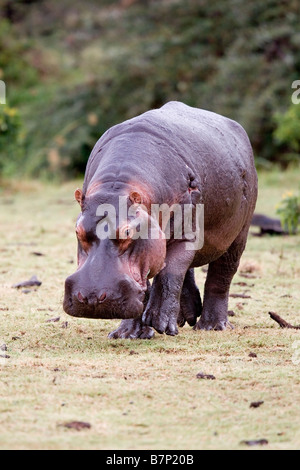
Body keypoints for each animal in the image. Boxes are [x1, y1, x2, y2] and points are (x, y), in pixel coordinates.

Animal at [63, 102, 258, 338]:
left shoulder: (185, 236)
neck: (118, 184)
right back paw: (187, 316)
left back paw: (211, 326)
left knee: (221, 275)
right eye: (78, 231)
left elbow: (169, 273)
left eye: (127, 232)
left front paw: (160, 323)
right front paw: (128, 334)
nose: (92, 297)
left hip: (238, 234)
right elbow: (150, 281)